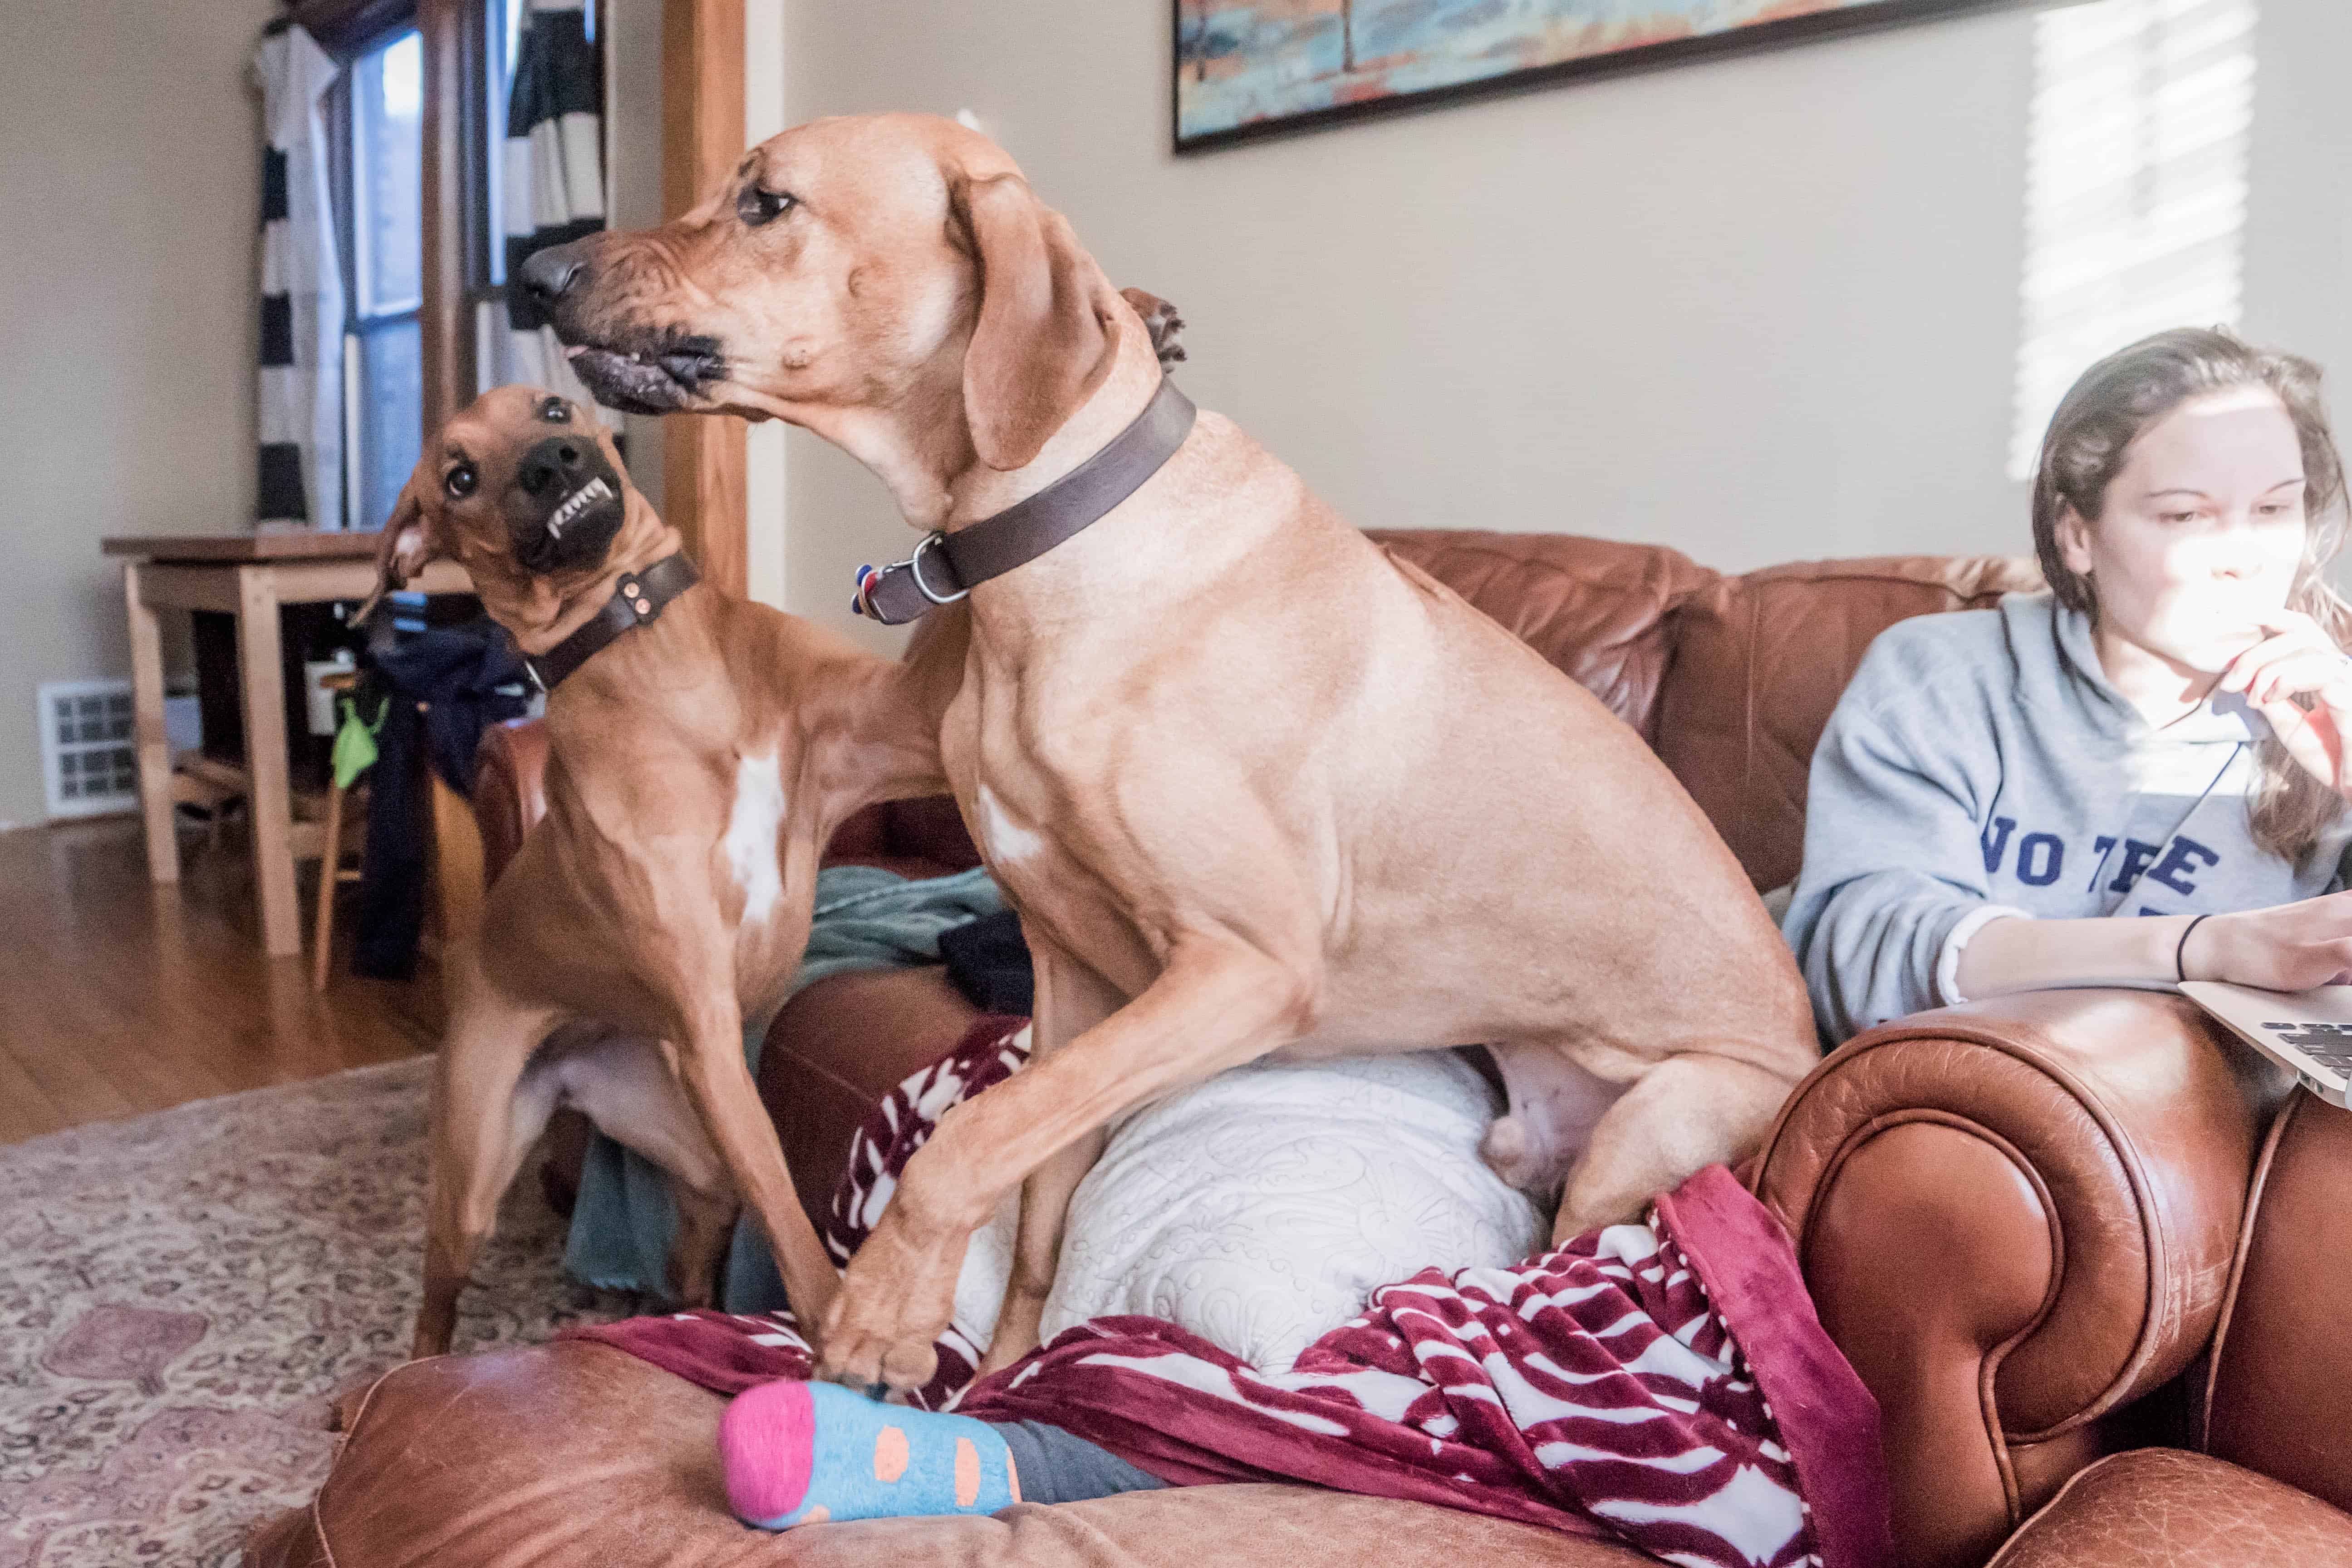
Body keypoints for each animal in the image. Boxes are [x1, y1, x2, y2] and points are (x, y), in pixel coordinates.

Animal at [529, 116, 1816, 1391]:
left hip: (1653, 1127)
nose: (537, 275)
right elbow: (1036, 1196)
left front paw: (880, 1315)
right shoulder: (1074, 982)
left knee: (1575, 1255)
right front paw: (999, 1377)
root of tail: (1807, 1045)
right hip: (1518, 1137)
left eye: (768, 203)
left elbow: (969, 1136)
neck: (1052, 543)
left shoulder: (1243, 968)